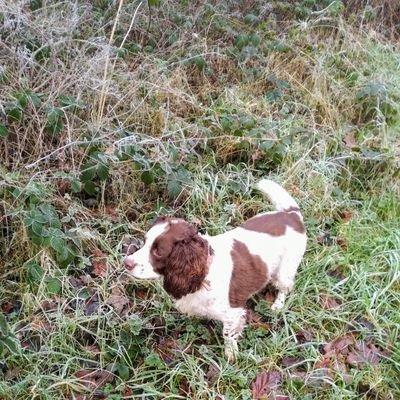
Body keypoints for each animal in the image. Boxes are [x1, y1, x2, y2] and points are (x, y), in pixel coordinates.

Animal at [124, 180, 306, 360]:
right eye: (145, 242)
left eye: (158, 251)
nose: (126, 262)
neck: (204, 271)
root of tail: (292, 215)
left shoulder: (233, 312)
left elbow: (228, 334)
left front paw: (231, 354)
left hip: (285, 271)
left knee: (284, 288)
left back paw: (277, 305)